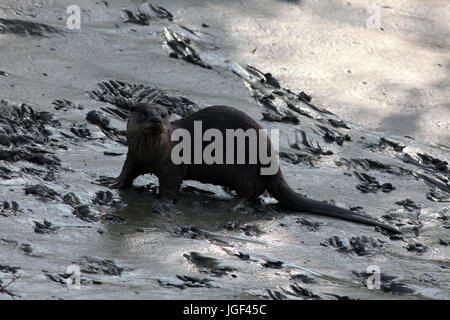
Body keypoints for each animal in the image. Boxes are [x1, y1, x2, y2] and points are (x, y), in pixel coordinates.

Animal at [116, 104, 400, 234]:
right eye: (144, 112)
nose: (155, 119)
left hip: (244, 171)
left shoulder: (172, 167)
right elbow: (126, 172)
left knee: (252, 192)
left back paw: (234, 205)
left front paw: (163, 204)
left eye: (164, 114)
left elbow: (170, 187)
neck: (153, 152)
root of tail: (272, 162)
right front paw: (114, 184)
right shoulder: (134, 156)